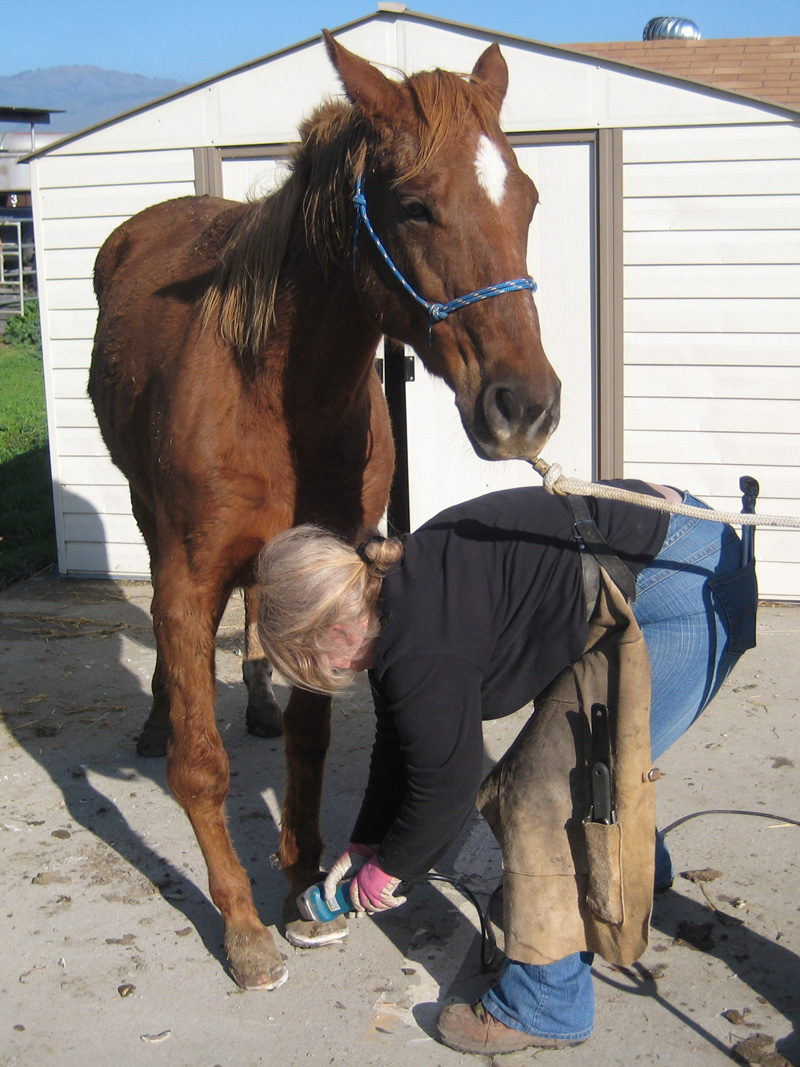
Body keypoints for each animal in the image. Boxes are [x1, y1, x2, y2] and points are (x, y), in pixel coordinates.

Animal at [87, 33, 558, 994]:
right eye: (414, 206)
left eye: (526, 196)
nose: (525, 407)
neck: (270, 394)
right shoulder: (188, 578)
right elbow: (202, 763)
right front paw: (241, 923)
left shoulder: (326, 560)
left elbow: (309, 736)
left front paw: (303, 877)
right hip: (145, 514)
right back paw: (157, 717)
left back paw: (259, 702)